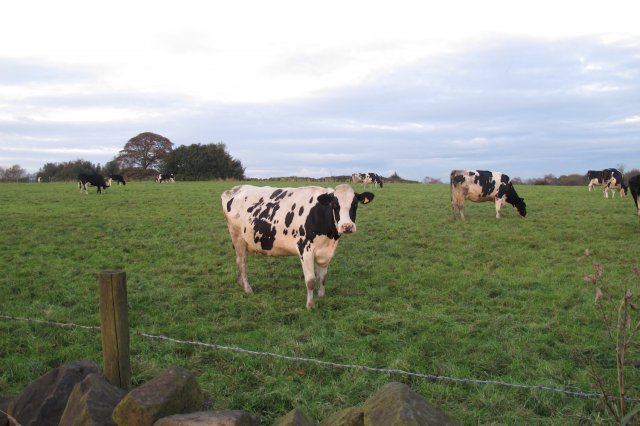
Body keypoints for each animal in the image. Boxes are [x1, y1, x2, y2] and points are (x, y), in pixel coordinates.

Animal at [221, 185, 376, 308]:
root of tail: (235, 189)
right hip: (238, 237)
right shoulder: (305, 250)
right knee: (242, 262)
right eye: (335, 205)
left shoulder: (326, 252)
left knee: (239, 261)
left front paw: (321, 296)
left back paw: (240, 283)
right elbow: (311, 281)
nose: (347, 226)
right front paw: (310, 305)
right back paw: (247, 288)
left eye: (355, 205)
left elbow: (323, 278)